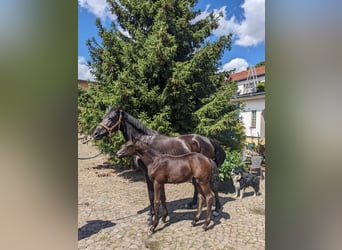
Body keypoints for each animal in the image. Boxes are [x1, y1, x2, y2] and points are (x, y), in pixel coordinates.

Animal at [91, 107, 224, 219]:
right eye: (103, 116)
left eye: (111, 118)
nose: (95, 134)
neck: (144, 141)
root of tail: (208, 140)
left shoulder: (147, 173)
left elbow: (151, 193)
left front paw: (152, 216)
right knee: (197, 187)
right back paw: (192, 203)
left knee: (214, 187)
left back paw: (217, 209)